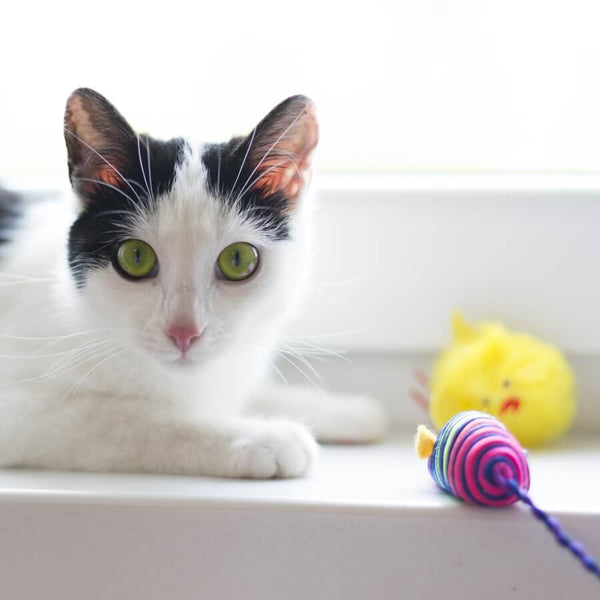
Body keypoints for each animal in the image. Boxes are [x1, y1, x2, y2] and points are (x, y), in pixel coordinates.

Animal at [0, 89, 386, 480]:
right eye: (135, 257)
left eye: (238, 260)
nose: (184, 332)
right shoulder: (19, 411)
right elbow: (123, 419)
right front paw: (266, 438)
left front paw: (346, 410)